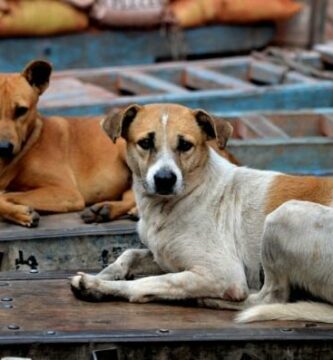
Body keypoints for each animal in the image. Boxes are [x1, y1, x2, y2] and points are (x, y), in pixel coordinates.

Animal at [0, 60, 136, 226]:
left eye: (21, 110)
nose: (3, 148)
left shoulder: (67, 192)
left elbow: (5, 195)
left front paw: (20, 212)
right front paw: (19, 213)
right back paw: (106, 209)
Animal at [71, 104, 332, 324]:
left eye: (185, 145)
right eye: (145, 142)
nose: (165, 179)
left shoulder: (223, 274)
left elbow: (148, 282)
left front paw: (97, 285)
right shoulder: (165, 257)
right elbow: (130, 254)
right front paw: (108, 273)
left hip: (284, 215)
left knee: (269, 299)